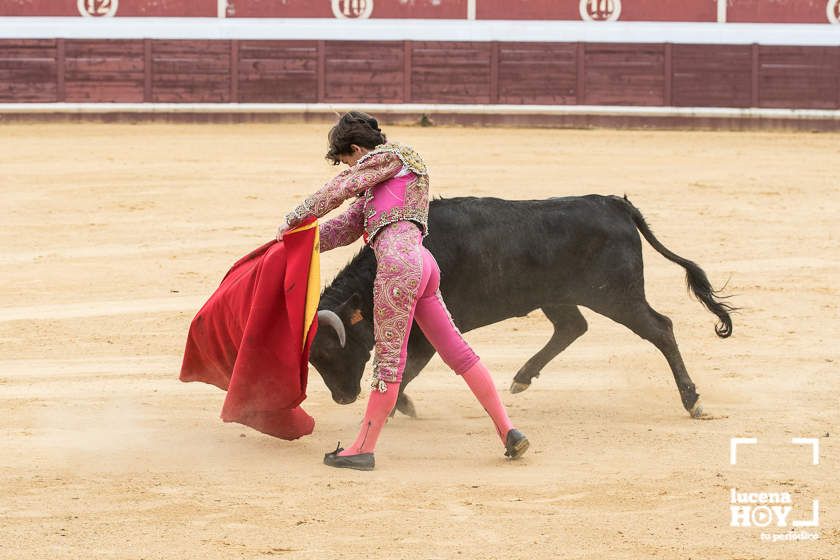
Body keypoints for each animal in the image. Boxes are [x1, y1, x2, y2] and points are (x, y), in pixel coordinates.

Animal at [306, 195, 732, 418]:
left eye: (327, 351)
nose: (343, 398)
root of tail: (615, 204)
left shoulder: (428, 329)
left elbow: (410, 366)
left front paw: (398, 405)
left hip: (618, 295)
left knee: (661, 329)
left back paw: (692, 401)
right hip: (560, 296)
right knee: (573, 327)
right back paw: (523, 377)